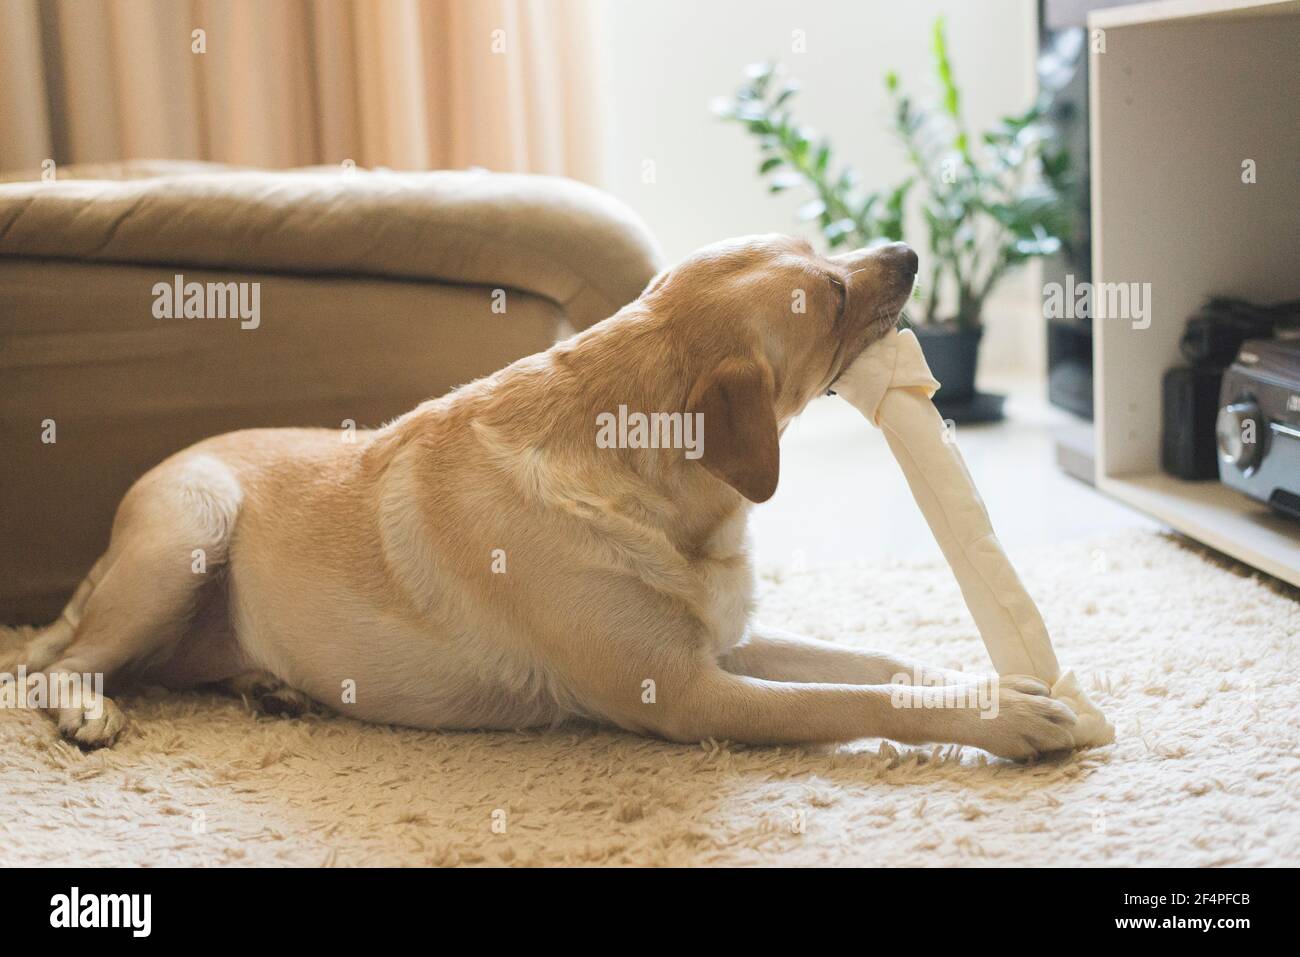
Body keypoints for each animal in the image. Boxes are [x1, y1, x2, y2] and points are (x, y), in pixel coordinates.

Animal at [15, 235, 1076, 759]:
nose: (907, 253)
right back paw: (87, 711)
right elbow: (860, 698)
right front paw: (1007, 720)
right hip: (191, 528)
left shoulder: (724, 642)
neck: (666, 500)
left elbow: (878, 660)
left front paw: (1000, 682)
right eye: (833, 296)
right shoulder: (693, 694)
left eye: (829, 251)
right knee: (52, 669)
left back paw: (270, 686)